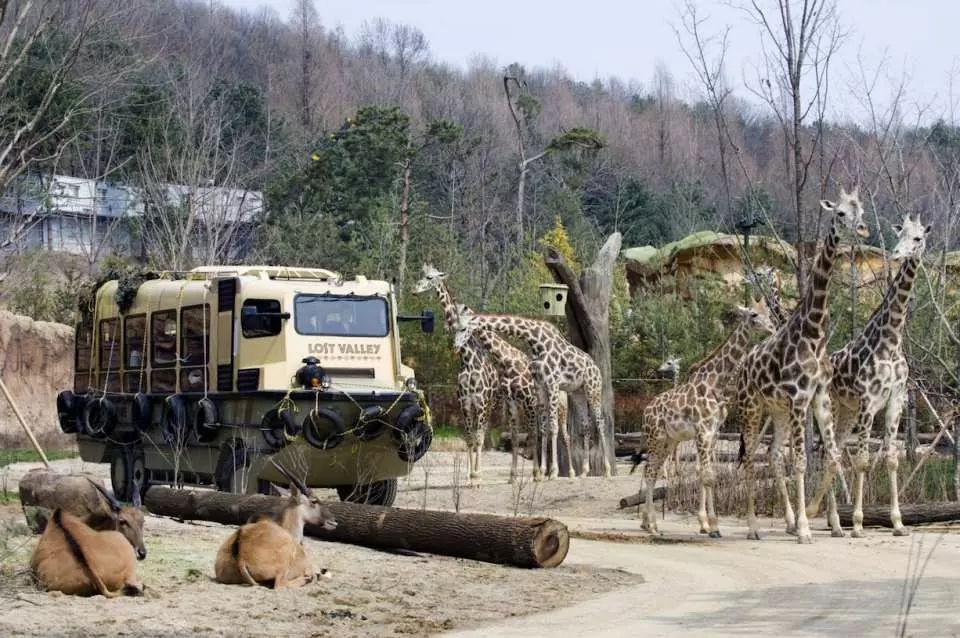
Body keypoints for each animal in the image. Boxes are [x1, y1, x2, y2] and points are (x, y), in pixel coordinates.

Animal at [412, 264, 499, 482]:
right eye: (421, 275)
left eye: (430, 277)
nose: (414, 289)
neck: (467, 360)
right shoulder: (465, 403)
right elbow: (468, 438)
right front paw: (468, 475)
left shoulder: (480, 402)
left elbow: (478, 439)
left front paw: (476, 476)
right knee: (475, 434)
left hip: (489, 405)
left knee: (483, 433)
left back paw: (480, 472)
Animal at [451, 309, 612, 479]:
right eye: (453, 328)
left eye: (463, 329)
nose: (455, 346)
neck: (535, 339)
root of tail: (596, 367)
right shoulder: (540, 387)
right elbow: (542, 429)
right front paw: (541, 472)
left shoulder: (552, 383)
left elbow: (552, 427)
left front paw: (552, 472)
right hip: (577, 393)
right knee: (585, 426)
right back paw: (584, 472)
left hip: (592, 389)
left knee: (599, 422)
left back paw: (606, 470)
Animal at [636, 302, 776, 537]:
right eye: (754, 314)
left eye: (768, 312)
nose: (772, 328)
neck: (716, 384)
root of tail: (645, 411)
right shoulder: (702, 431)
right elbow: (707, 476)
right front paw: (713, 526)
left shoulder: (713, 432)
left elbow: (707, 475)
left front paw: (708, 524)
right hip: (655, 438)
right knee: (649, 471)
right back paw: (653, 526)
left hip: (668, 441)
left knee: (652, 471)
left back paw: (648, 523)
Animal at [735, 185, 870, 544]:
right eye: (840, 212)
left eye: (862, 210)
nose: (863, 230)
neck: (814, 333)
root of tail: (743, 366)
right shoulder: (799, 398)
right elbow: (800, 461)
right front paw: (806, 529)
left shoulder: (817, 397)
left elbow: (832, 456)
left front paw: (832, 523)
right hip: (752, 408)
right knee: (752, 457)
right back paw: (752, 528)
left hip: (777, 411)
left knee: (772, 454)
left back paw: (787, 521)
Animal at [807, 214, 931, 538]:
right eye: (899, 234)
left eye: (918, 238)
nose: (897, 255)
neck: (891, 341)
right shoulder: (867, 401)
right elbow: (863, 461)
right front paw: (860, 522)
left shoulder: (895, 399)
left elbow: (892, 460)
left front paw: (898, 523)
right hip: (833, 407)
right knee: (829, 453)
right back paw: (835, 522)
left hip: (847, 412)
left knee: (834, 453)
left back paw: (835, 524)